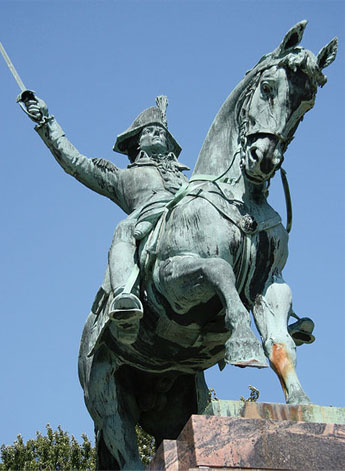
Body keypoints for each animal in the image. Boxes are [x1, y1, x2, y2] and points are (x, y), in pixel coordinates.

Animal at [78, 23, 336, 471]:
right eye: (267, 87)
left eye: (306, 104)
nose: (263, 158)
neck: (240, 197)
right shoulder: (172, 279)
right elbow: (220, 272)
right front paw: (242, 343)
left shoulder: (271, 284)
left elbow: (281, 345)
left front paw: (302, 405)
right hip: (108, 401)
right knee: (125, 448)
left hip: (174, 400)